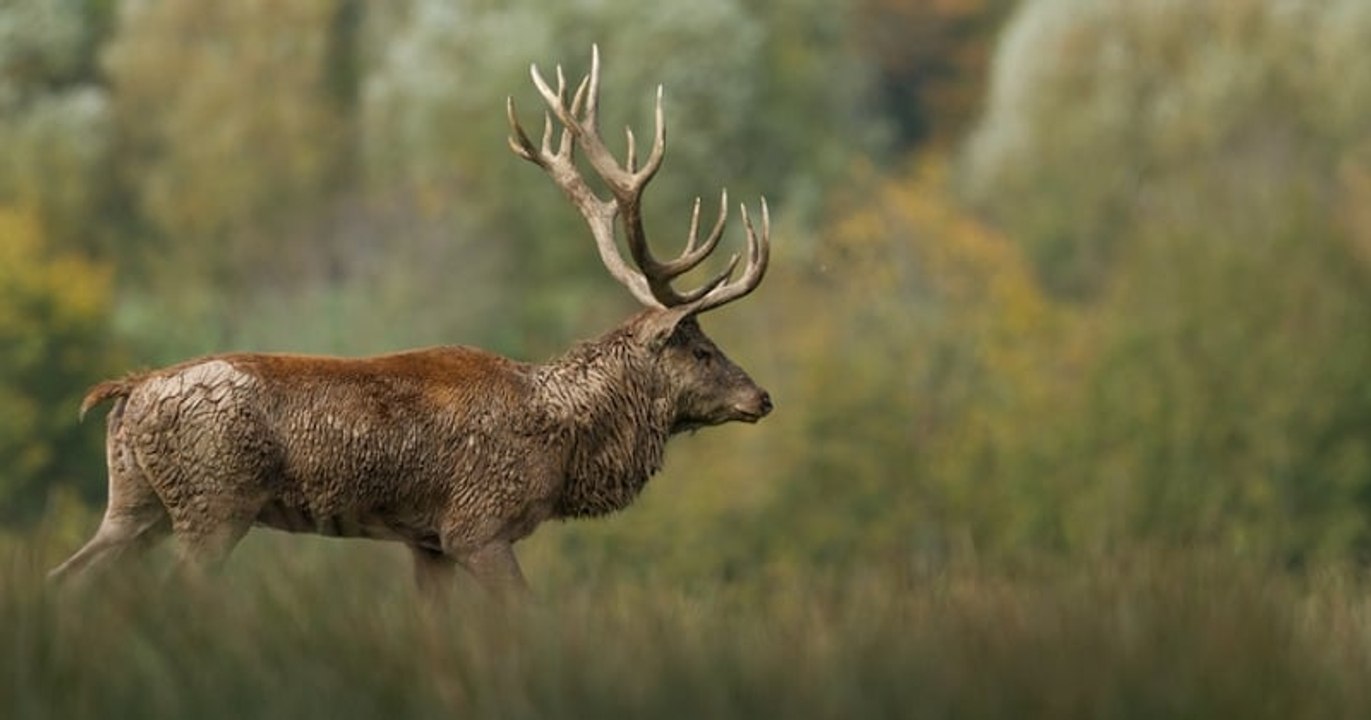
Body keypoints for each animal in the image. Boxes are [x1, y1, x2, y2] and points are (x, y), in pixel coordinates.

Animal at [48, 46, 772, 596]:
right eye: (701, 349)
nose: (761, 397)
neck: (561, 445)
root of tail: (129, 391)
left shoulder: (428, 542)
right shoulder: (478, 526)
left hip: (135, 502)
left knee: (68, 577)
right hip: (213, 504)